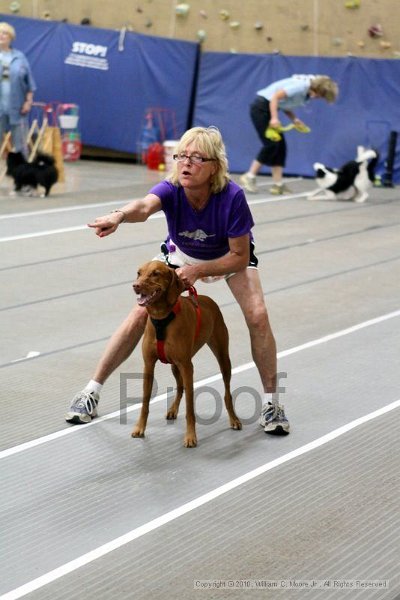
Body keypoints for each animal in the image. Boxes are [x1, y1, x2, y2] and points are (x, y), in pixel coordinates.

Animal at [133, 260, 242, 448]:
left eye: (155, 273)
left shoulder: (187, 366)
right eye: (139, 273)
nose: (136, 285)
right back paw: (173, 409)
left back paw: (233, 418)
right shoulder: (149, 365)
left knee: (227, 393)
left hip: (222, 357)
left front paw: (191, 436)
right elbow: (145, 402)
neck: (162, 318)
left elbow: (190, 407)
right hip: (175, 366)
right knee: (180, 387)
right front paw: (140, 427)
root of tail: (207, 299)